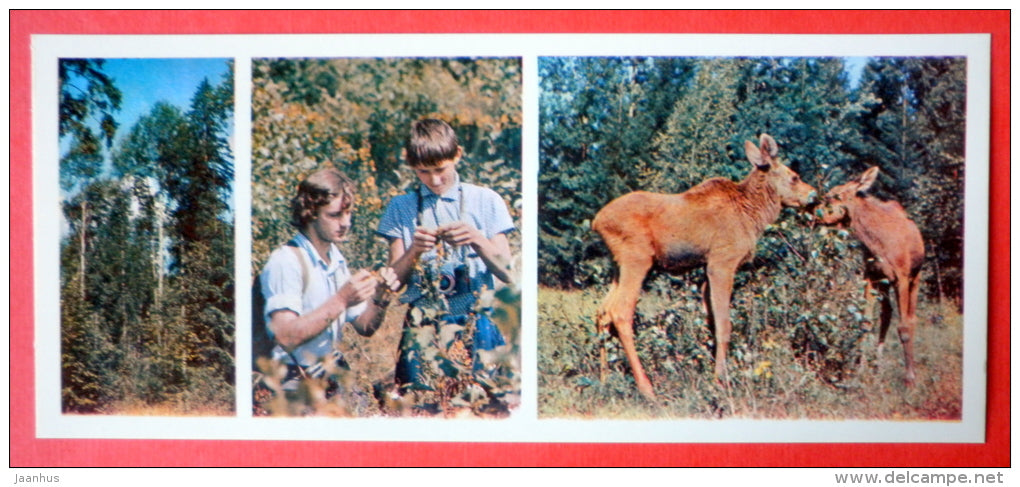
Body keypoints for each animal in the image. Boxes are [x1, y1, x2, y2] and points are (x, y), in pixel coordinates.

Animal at [595, 133, 816, 398]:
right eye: (794, 176)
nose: (814, 195)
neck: (753, 215)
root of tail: (596, 223)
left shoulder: (705, 267)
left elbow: (710, 321)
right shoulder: (722, 262)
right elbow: (724, 325)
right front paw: (720, 380)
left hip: (617, 266)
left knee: (602, 311)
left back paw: (604, 379)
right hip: (636, 259)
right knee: (620, 312)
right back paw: (647, 389)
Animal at [816, 165, 930, 385]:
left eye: (833, 196)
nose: (815, 214)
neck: (876, 243)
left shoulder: (902, 277)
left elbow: (904, 327)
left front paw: (909, 378)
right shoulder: (871, 276)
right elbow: (866, 323)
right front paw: (860, 371)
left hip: (916, 277)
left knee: (911, 318)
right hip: (885, 282)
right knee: (886, 313)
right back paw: (877, 365)